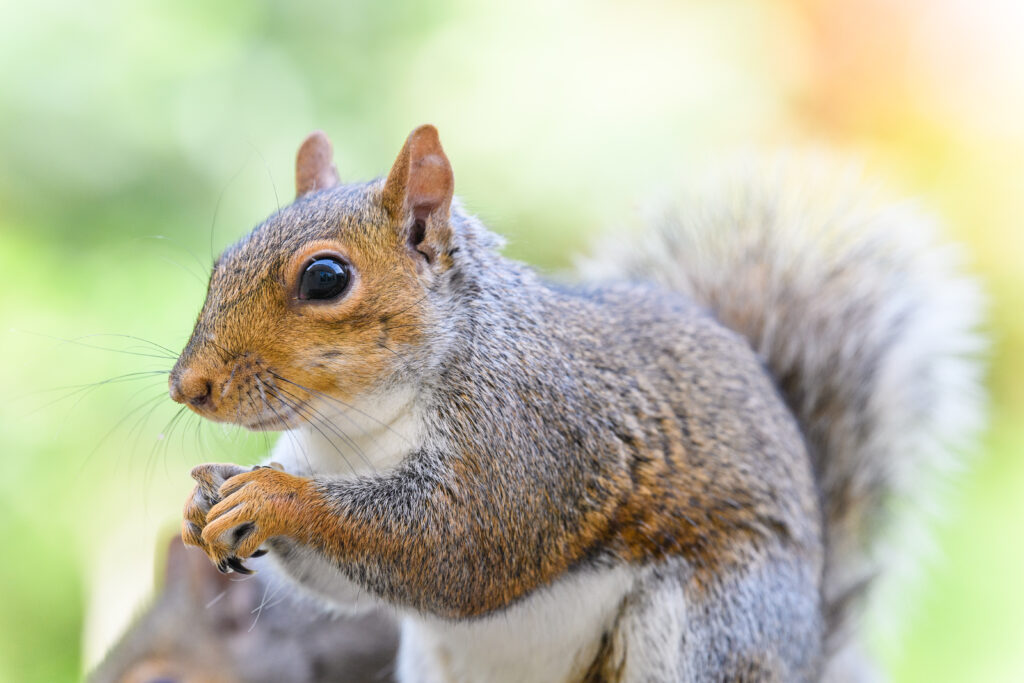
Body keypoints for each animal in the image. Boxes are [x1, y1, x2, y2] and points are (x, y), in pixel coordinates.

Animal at [168, 125, 984, 682]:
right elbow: (341, 578)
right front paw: (207, 495)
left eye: (326, 278)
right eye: (220, 263)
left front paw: (274, 497)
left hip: (711, 626)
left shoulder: (535, 438)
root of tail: (810, 648)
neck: (359, 428)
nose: (188, 386)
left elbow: (456, 547)